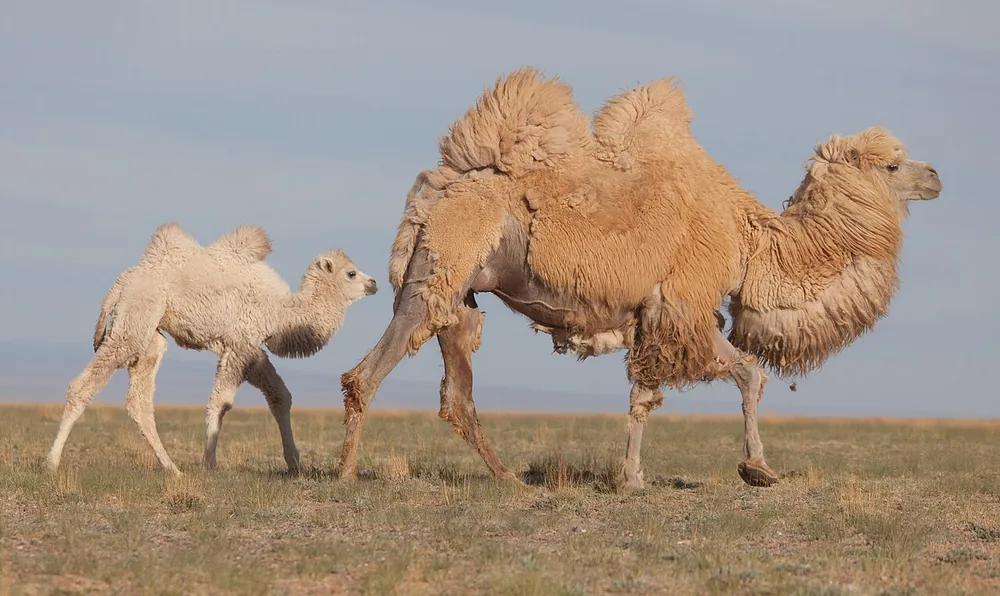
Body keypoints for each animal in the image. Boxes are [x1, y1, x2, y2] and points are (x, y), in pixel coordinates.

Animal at [45, 222, 378, 475]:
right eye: (351, 273)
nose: (374, 283)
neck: (281, 312)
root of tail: (121, 282)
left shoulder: (251, 349)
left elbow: (280, 396)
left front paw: (295, 464)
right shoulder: (239, 343)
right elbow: (222, 403)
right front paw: (210, 463)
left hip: (149, 335)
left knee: (139, 401)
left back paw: (172, 469)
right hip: (133, 324)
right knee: (83, 385)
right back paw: (51, 462)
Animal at [338, 67, 943, 489]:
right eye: (893, 165)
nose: (936, 175)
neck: (746, 243)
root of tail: (434, 192)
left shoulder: (651, 316)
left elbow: (642, 396)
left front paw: (630, 477)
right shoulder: (684, 306)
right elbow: (747, 374)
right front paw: (757, 469)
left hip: (461, 300)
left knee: (457, 397)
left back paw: (509, 479)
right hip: (436, 275)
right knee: (367, 374)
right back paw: (345, 475)